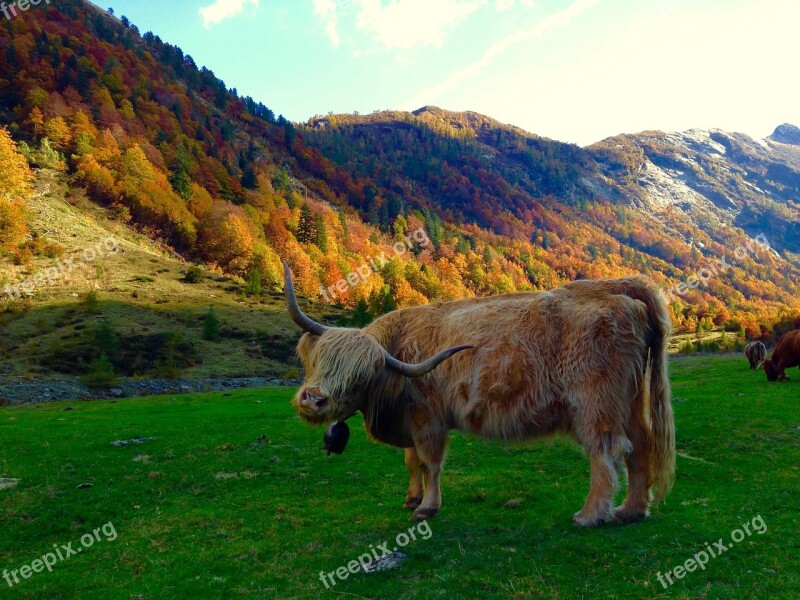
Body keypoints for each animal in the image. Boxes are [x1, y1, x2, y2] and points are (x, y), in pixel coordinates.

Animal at [284, 264, 672, 528]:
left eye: (360, 375)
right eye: (320, 360)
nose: (313, 400)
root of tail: (615, 285)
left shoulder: (428, 419)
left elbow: (430, 462)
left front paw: (427, 506)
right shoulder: (410, 421)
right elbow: (412, 462)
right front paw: (411, 498)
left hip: (595, 403)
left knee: (606, 452)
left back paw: (591, 514)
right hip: (629, 400)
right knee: (640, 445)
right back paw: (631, 510)